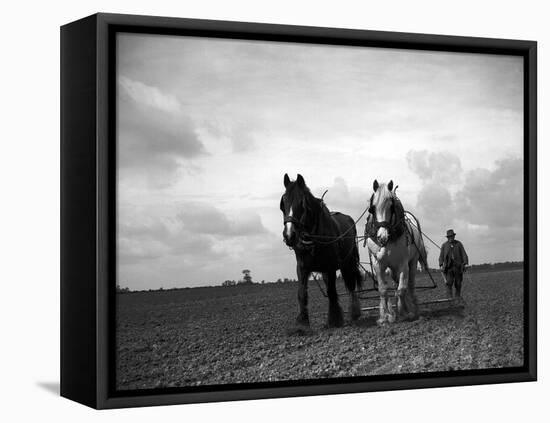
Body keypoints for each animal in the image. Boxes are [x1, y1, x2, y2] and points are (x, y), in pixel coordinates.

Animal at [282, 173, 364, 328]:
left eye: (301, 203)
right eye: (283, 204)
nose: (289, 235)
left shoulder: (330, 266)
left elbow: (331, 292)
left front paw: (335, 320)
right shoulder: (302, 267)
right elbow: (302, 293)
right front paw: (302, 323)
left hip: (348, 262)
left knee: (350, 284)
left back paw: (354, 312)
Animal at [368, 180, 430, 324]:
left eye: (391, 206)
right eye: (372, 208)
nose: (382, 237)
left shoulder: (403, 264)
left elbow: (401, 289)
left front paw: (403, 313)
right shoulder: (378, 264)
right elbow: (383, 290)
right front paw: (386, 317)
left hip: (412, 262)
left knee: (410, 286)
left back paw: (414, 310)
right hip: (393, 267)